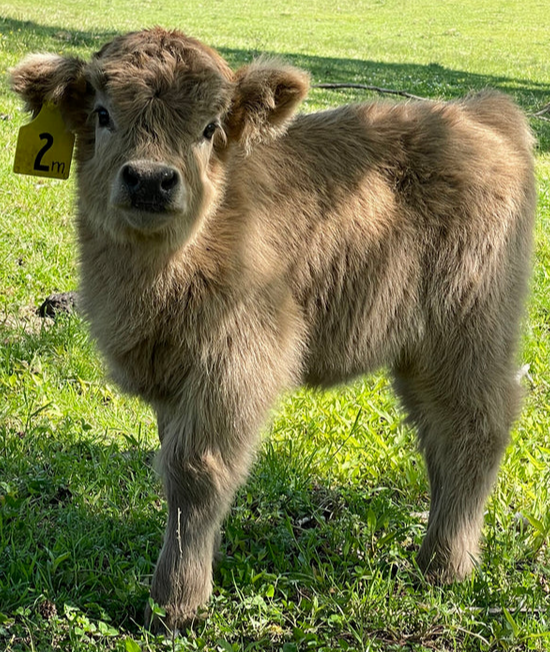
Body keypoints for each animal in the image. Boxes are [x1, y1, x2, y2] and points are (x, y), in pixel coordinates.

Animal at [11, 28, 540, 628]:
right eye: (102, 113)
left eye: (209, 127)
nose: (150, 179)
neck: (159, 274)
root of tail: (477, 113)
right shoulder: (173, 378)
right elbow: (172, 467)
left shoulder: (237, 362)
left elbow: (195, 470)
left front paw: (176, 603)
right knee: (439, 436)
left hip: (467, 330)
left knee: (474, 427)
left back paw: (443, 566)